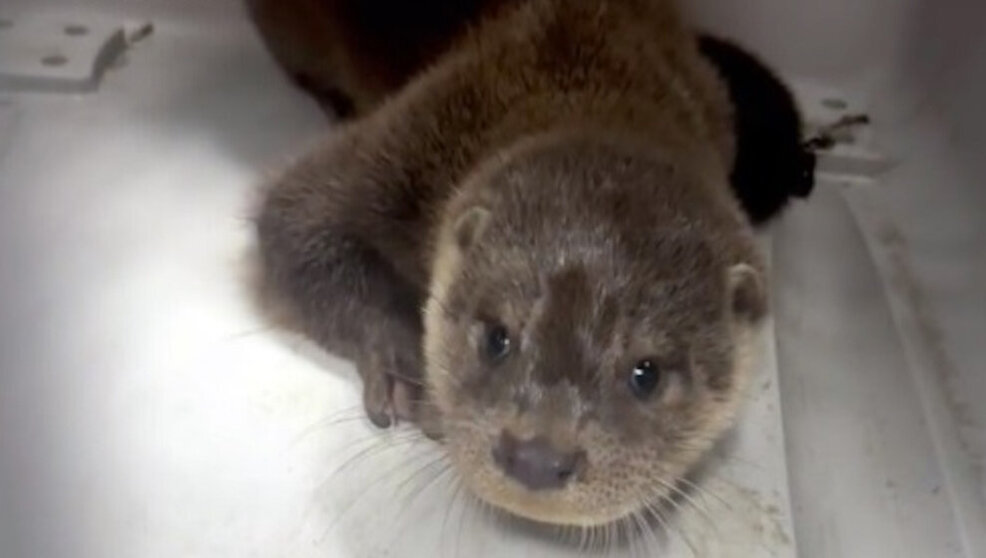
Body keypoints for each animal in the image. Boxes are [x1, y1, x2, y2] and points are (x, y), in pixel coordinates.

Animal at [252, 0, 784, 528]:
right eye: (496, 338)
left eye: (646, 374)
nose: (537, 459)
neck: (579, 77)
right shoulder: (412, 141)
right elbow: (296, 217)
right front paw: (411, 374)